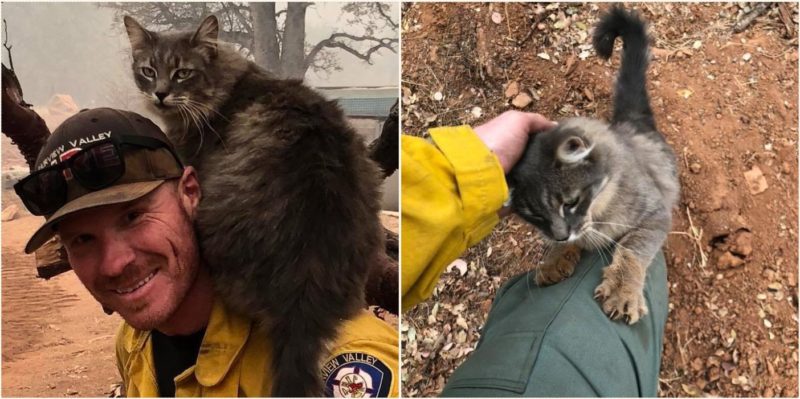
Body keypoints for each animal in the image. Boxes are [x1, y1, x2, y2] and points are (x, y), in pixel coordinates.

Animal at [510, 6, 680, 324]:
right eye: (535, 216)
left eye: (570, 202)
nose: (560, 234)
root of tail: (630, 120)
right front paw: (554, 260)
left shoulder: (656, 214)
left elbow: (632, 248)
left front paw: (623, 290)